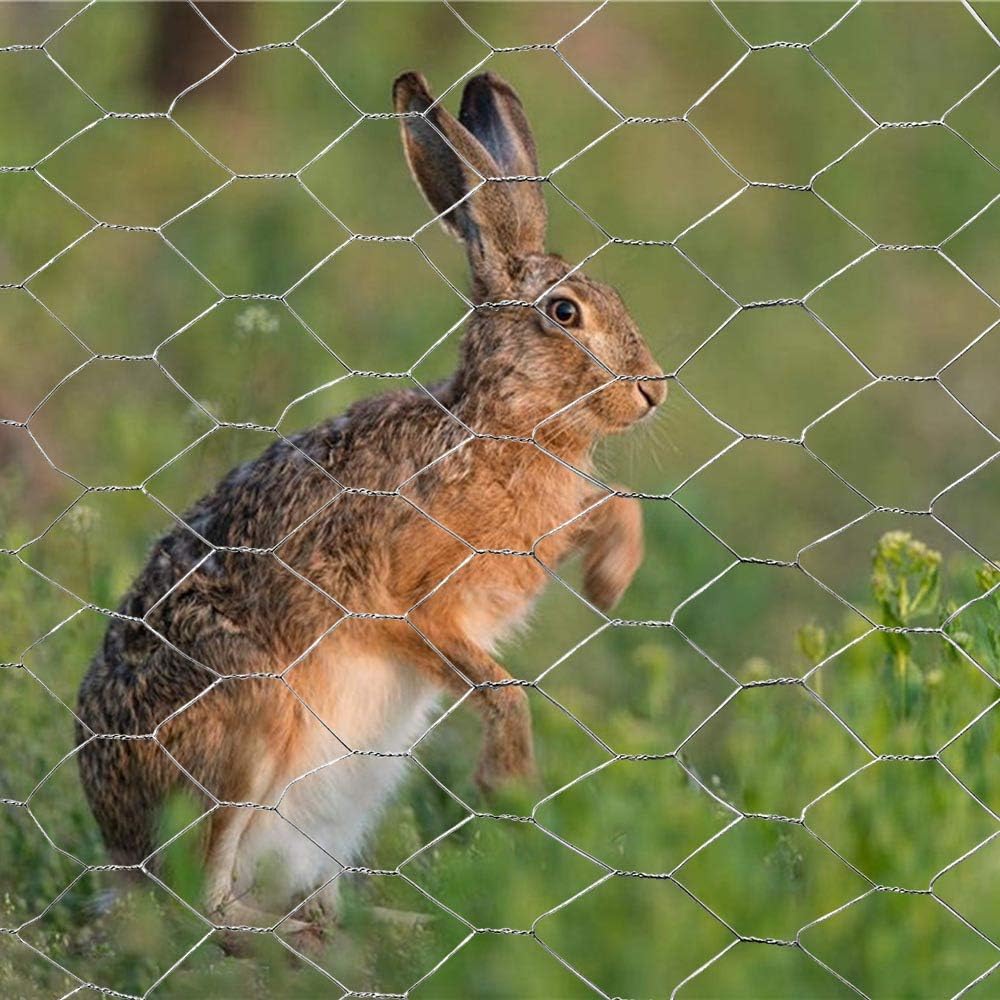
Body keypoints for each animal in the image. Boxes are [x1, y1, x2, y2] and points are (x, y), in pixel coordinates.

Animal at [75, 69, 666, 944]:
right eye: (565, 313)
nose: (653, 389)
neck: (499, 423)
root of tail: (120, 850)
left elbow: (614, 505)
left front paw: (610, 583)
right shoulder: (409, 604)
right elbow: (501, 686)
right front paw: (510, 778)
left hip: (339, 806)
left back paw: (385, 925)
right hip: (249, 722)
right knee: (203, 901)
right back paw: (291, 935)